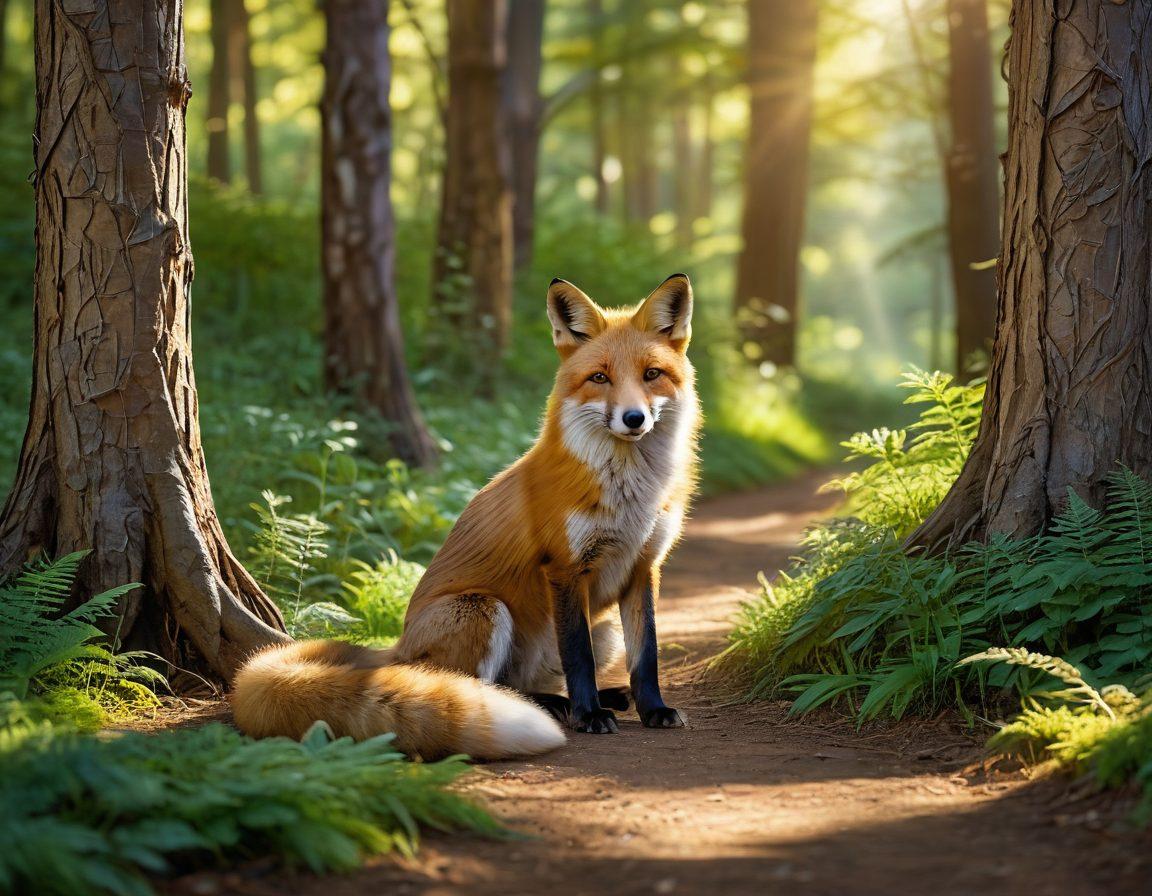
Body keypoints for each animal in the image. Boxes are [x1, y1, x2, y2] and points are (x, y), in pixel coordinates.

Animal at [231, 273, 699, 760]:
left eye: (651, 374)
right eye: (600, 377)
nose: (634, 418)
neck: (631, 496)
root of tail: (397, 650)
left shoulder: (644, 566)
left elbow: (646, 654)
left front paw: (654, 709)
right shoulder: (565, 568)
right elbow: (579, 657)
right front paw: (589, 716)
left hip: (599, 627)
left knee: (524, 682)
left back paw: (582, 698)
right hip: (482, 609)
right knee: (479, 686)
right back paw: (555, 707)